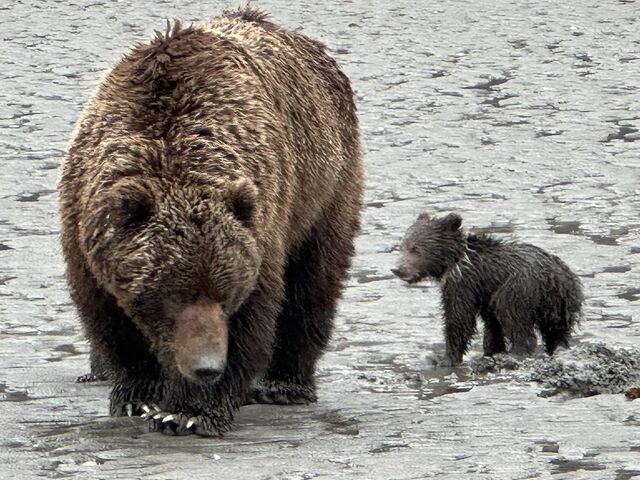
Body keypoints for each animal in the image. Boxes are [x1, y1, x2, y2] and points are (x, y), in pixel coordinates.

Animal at [57, 7, 362, 436]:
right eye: (173, 294)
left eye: (224, 294)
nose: (207, 367)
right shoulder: (85, 231)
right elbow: (111, 321)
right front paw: (138, 396)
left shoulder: (261, 227)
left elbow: (256, 314)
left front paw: (188, 412)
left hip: (324, 185)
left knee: (312, 283)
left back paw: (283, 384)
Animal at [392, 212, 584, 366]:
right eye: (402, 245)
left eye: (415, 248)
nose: (398, 269)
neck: (455, 261)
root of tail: (553, 277)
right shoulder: (484, 293)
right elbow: (492, 327)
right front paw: (491, 350)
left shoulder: (464, 283)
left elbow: (458, 318)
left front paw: (444, 358)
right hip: (561, 303)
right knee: (557, 331)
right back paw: (558, 348)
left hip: (519, 289)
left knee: (513, 317)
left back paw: (517, 352)